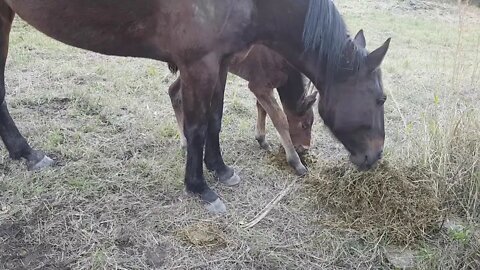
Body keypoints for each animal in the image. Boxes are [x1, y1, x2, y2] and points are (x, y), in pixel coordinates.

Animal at [169, 44, 318, 175]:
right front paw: (296, 162)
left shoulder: (265, 87)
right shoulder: (259, 85)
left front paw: (261, 139)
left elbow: (262, 108)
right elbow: (279, 119)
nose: (305, 148)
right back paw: (185, 142)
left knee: (174, 92)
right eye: (304, 125)